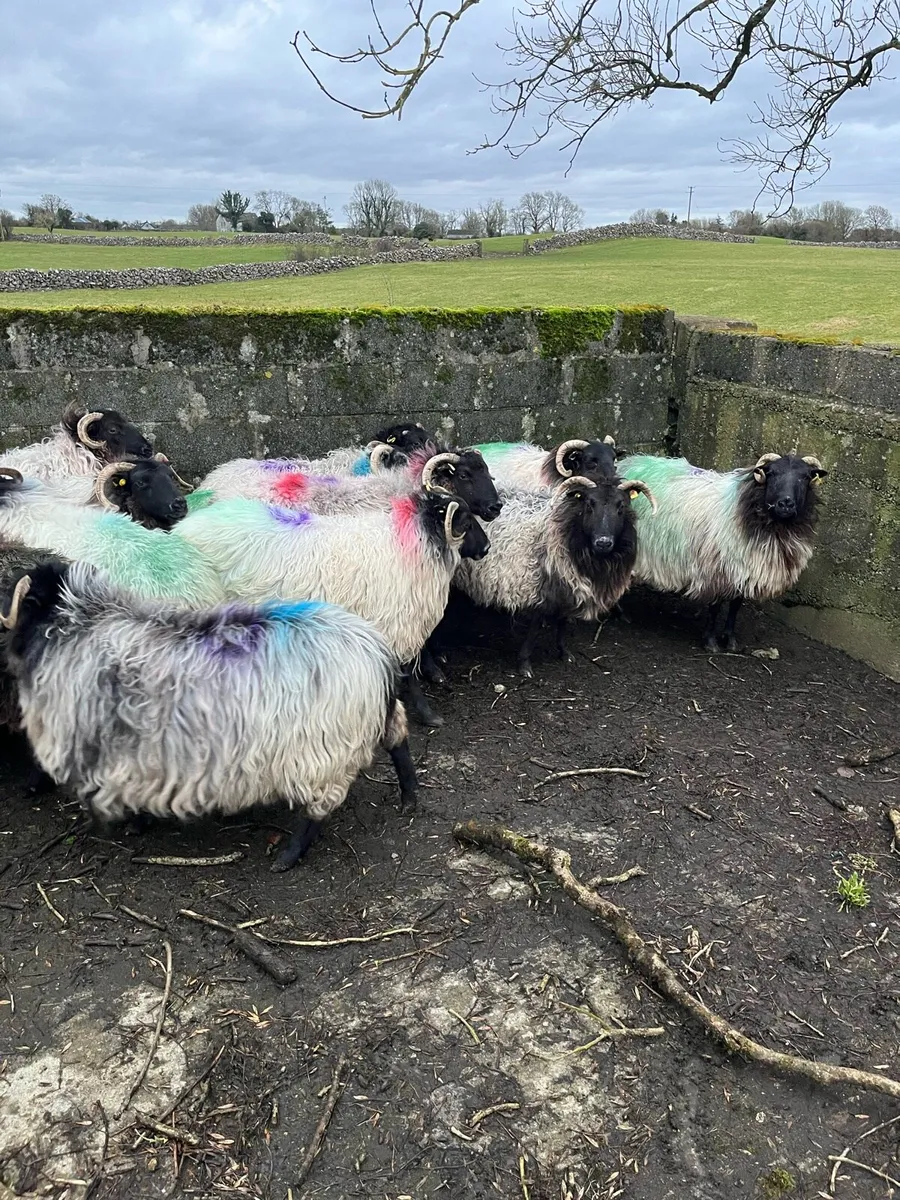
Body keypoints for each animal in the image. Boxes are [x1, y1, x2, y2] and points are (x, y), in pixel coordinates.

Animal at [1, 559, 418, 872]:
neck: (75, 626)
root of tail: (375, 650)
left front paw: (129, 824)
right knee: (398, 735)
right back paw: (410, 798)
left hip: (322, 752)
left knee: (320, 808)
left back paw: (287, 856)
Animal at [174, 488, 490, 724]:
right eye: (466, 522)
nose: (486, 548)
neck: (417, 542)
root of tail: (181, 529)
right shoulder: (398, 623)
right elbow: (407, 675)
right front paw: (427, 715)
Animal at [455, 474, 657, 676]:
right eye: (589, 505)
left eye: (621, 506)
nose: (603, 542)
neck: (565, 531)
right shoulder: (539, 587)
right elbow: (535, 627)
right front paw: (524, 664)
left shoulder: (568, 588)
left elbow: (563, 623)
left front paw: (564, 653)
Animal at [615, 451, 828, 651]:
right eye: (772, 473)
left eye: (805, 477)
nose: (785, 503)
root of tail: (627, 462)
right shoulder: (716, 568)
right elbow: (715, 607)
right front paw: (711, 642)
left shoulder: (745, 568)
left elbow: (735, 606)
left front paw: (730, 640)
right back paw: (622, 613)